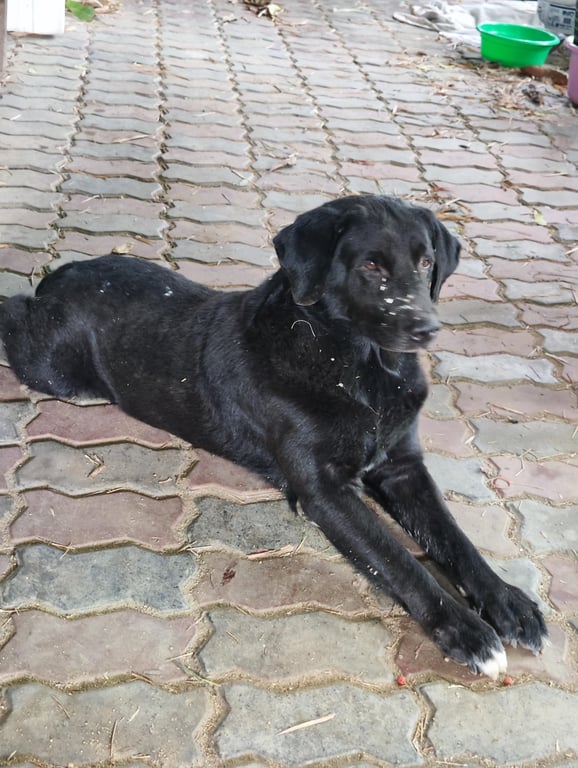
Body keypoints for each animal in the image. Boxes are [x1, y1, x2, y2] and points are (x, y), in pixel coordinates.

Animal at [0, 195, 546, 678]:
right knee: (13, 308)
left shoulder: (403, 467)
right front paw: (467, 631)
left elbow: (455, 540)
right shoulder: (323, 491)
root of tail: (63, 273)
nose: (428, 328)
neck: (359, 371)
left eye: (426, 260)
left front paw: (508, 601)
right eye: (371, 265)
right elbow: (398, 560)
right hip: (53, 368)